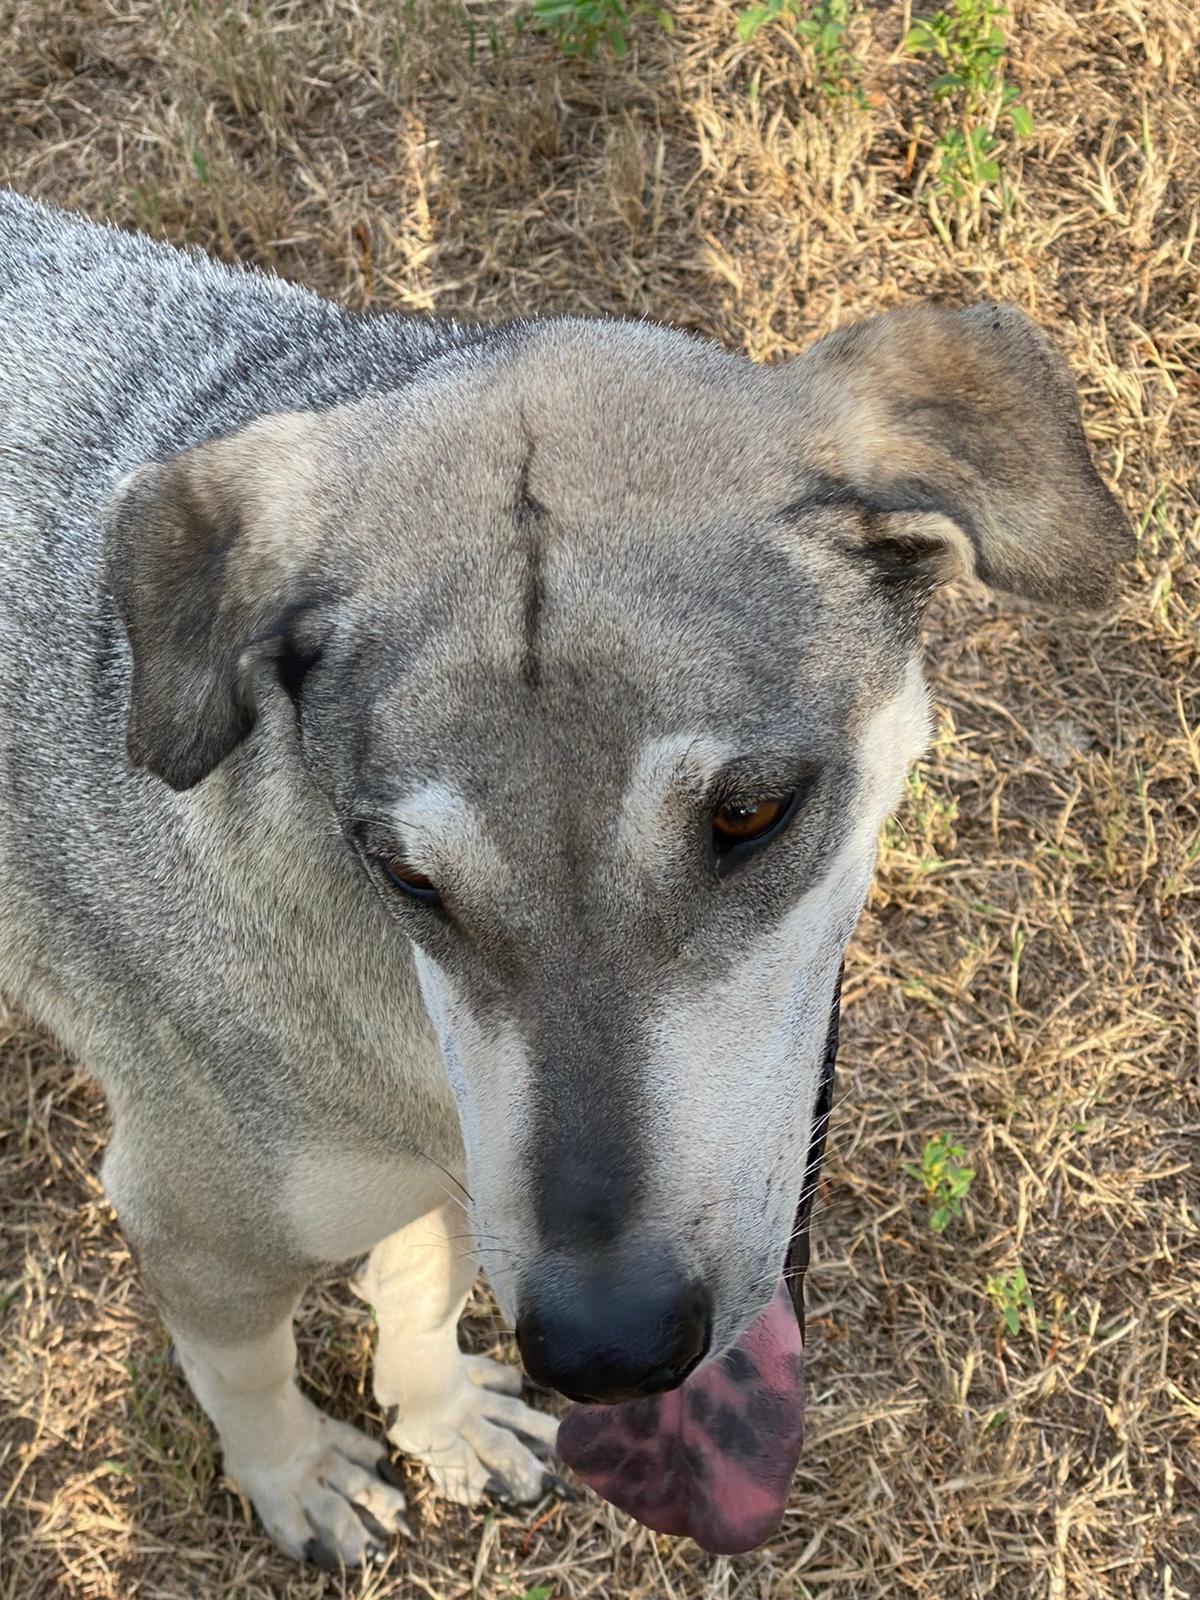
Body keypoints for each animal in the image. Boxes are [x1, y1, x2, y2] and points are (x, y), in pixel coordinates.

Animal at [0, 190, 1126, 1574]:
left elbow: (420, 1288)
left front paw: (438, 1419)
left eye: (750, 812)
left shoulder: (461, 1175)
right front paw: (299, 1478)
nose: (606, 1352)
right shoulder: (196, 1226)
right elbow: (249, 1377)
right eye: (404, 875)